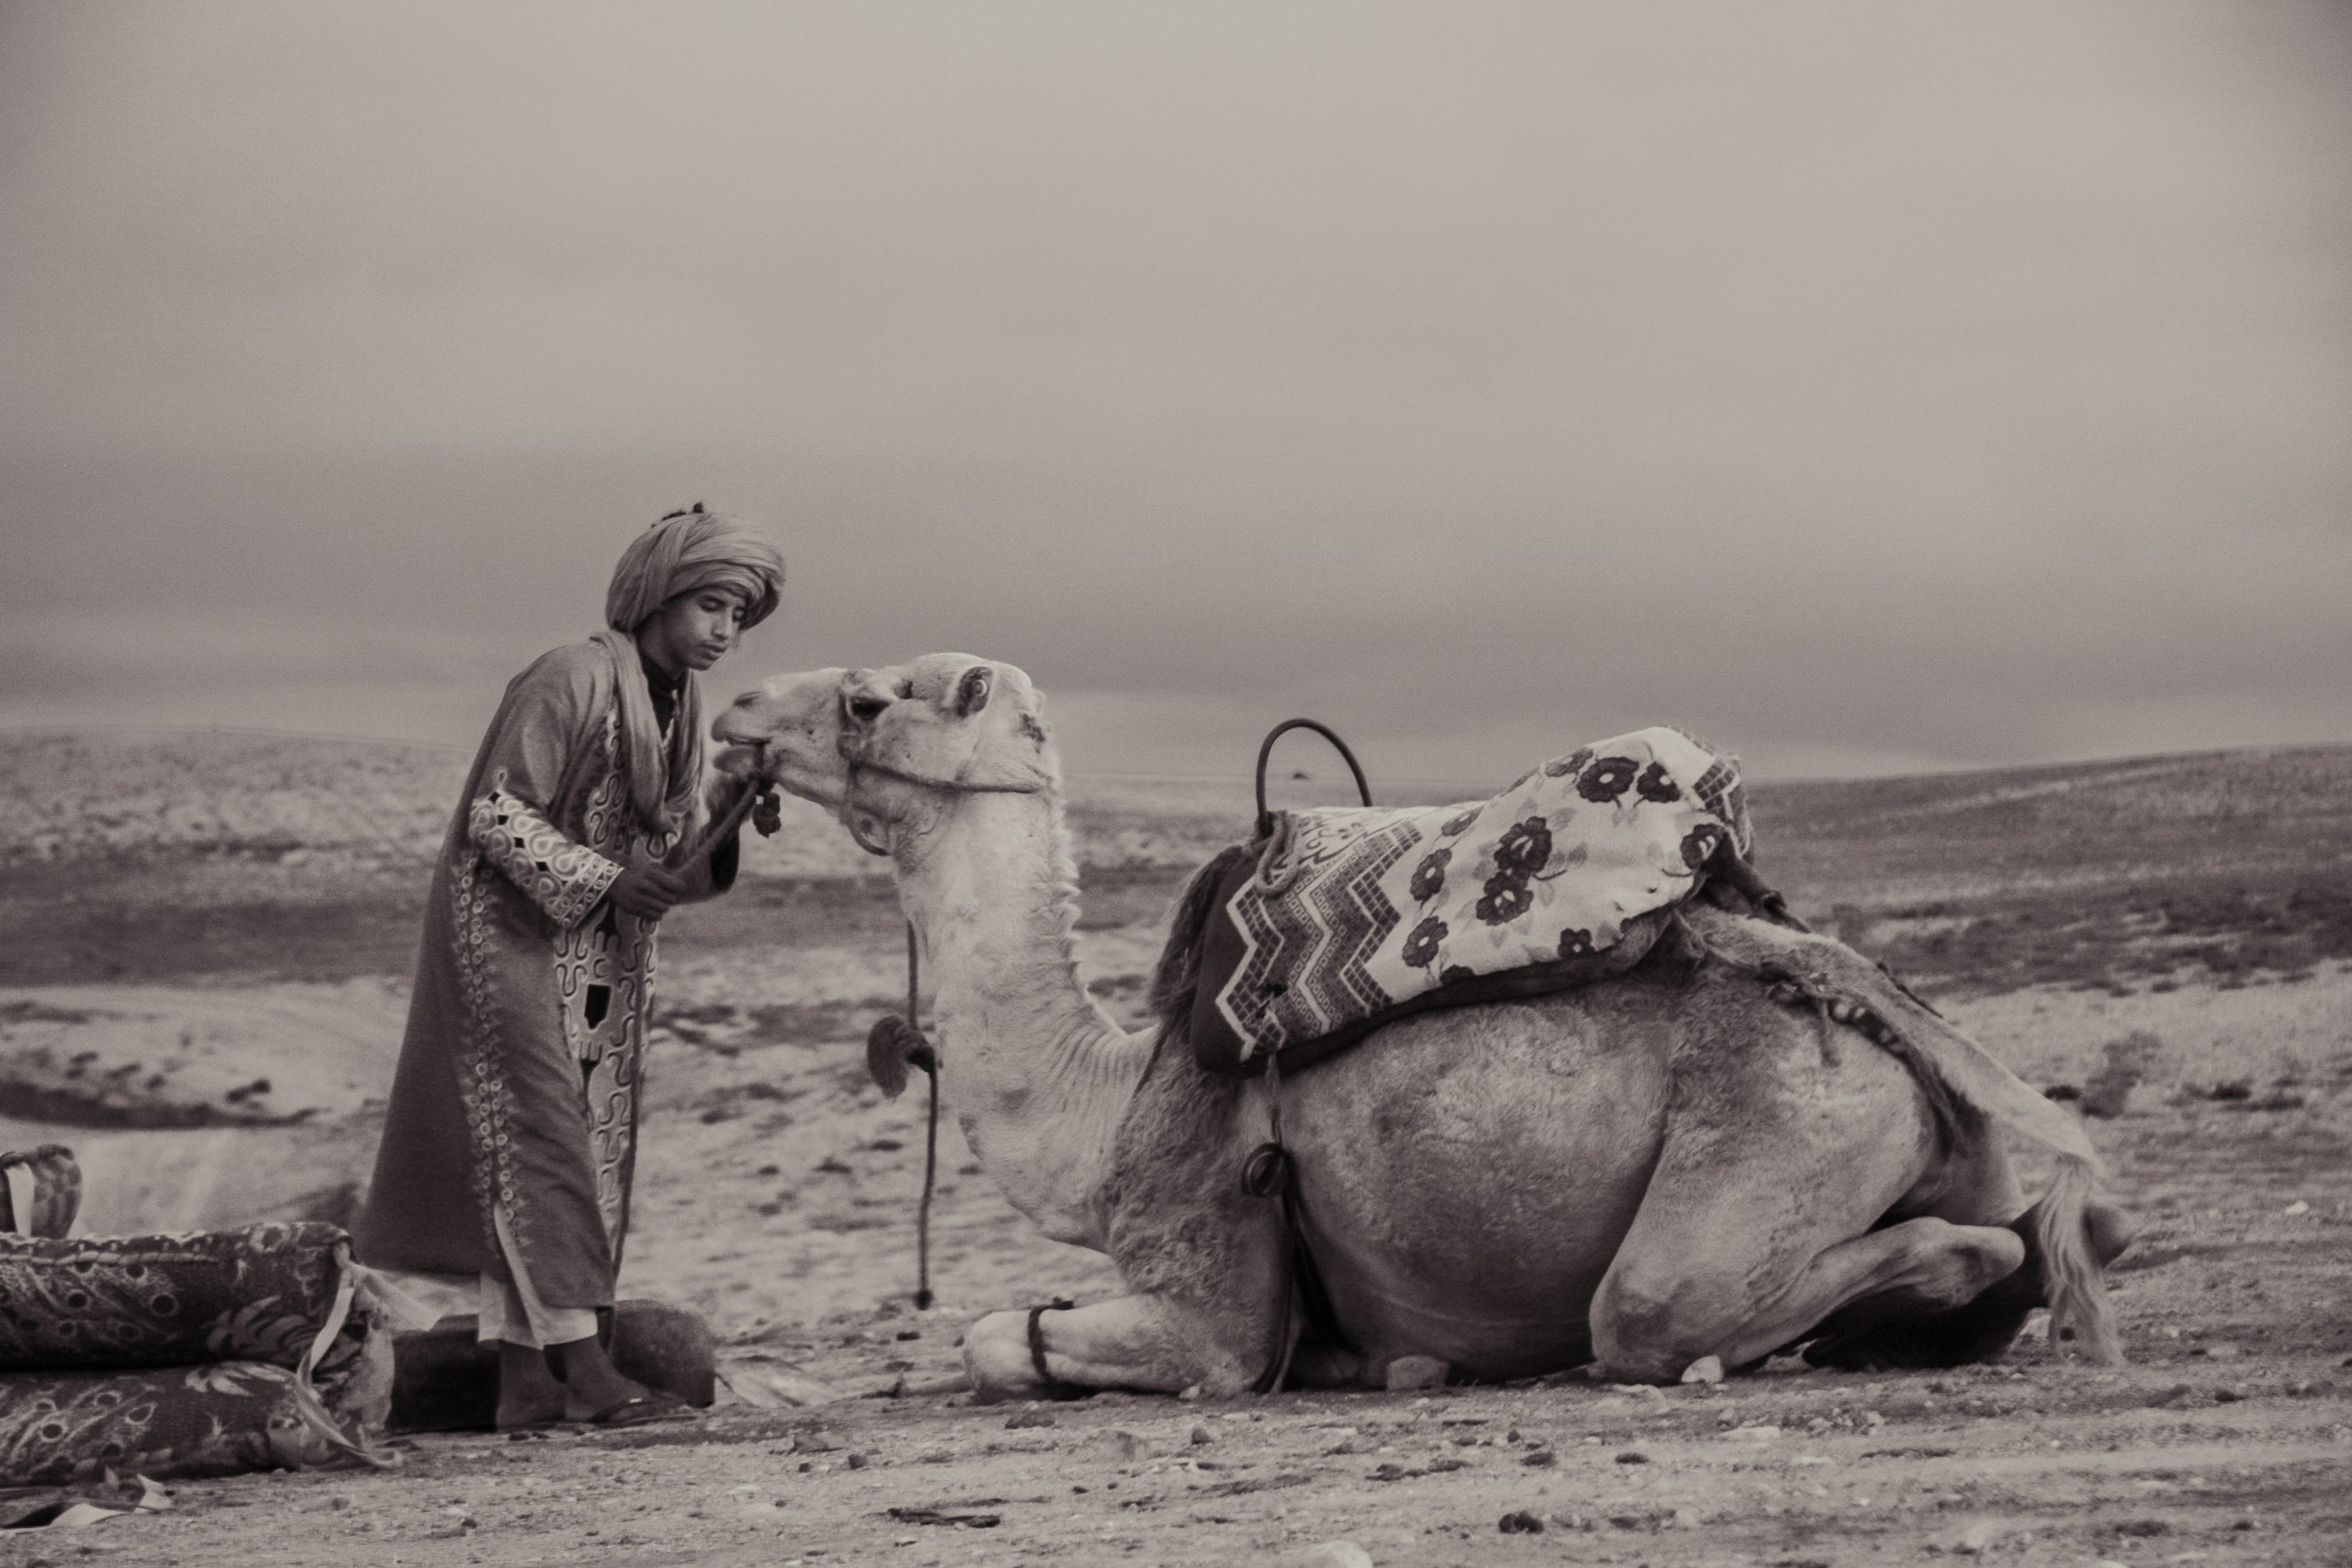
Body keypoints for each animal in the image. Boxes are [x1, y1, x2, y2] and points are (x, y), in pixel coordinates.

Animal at [713, 655, 2134, 1399]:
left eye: (869, 699)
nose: (733, 711)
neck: (1103, 1101)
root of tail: (1877, 1016)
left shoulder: (1213, 1281)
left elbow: (1004, 1338)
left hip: (1777, 1136)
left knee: (1665, 1312)